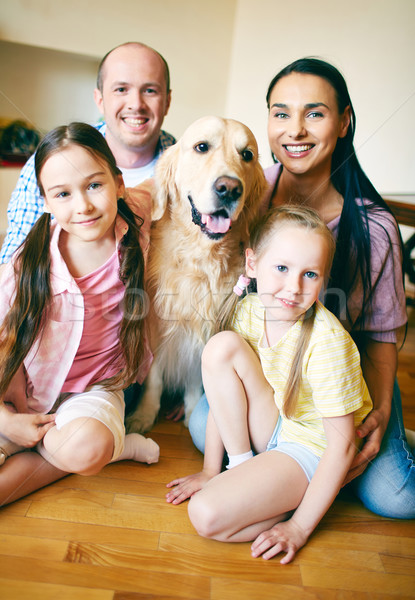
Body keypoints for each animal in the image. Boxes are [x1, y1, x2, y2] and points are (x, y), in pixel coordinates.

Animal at [125, 115, 266, 434]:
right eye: (202, 147)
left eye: (247, 155)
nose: (230, 188)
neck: (200, 259)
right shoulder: (156, 323)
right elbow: (154, 378)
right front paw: (143, 415)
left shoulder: (208, 327)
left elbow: (195, 377)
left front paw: (190, 414)